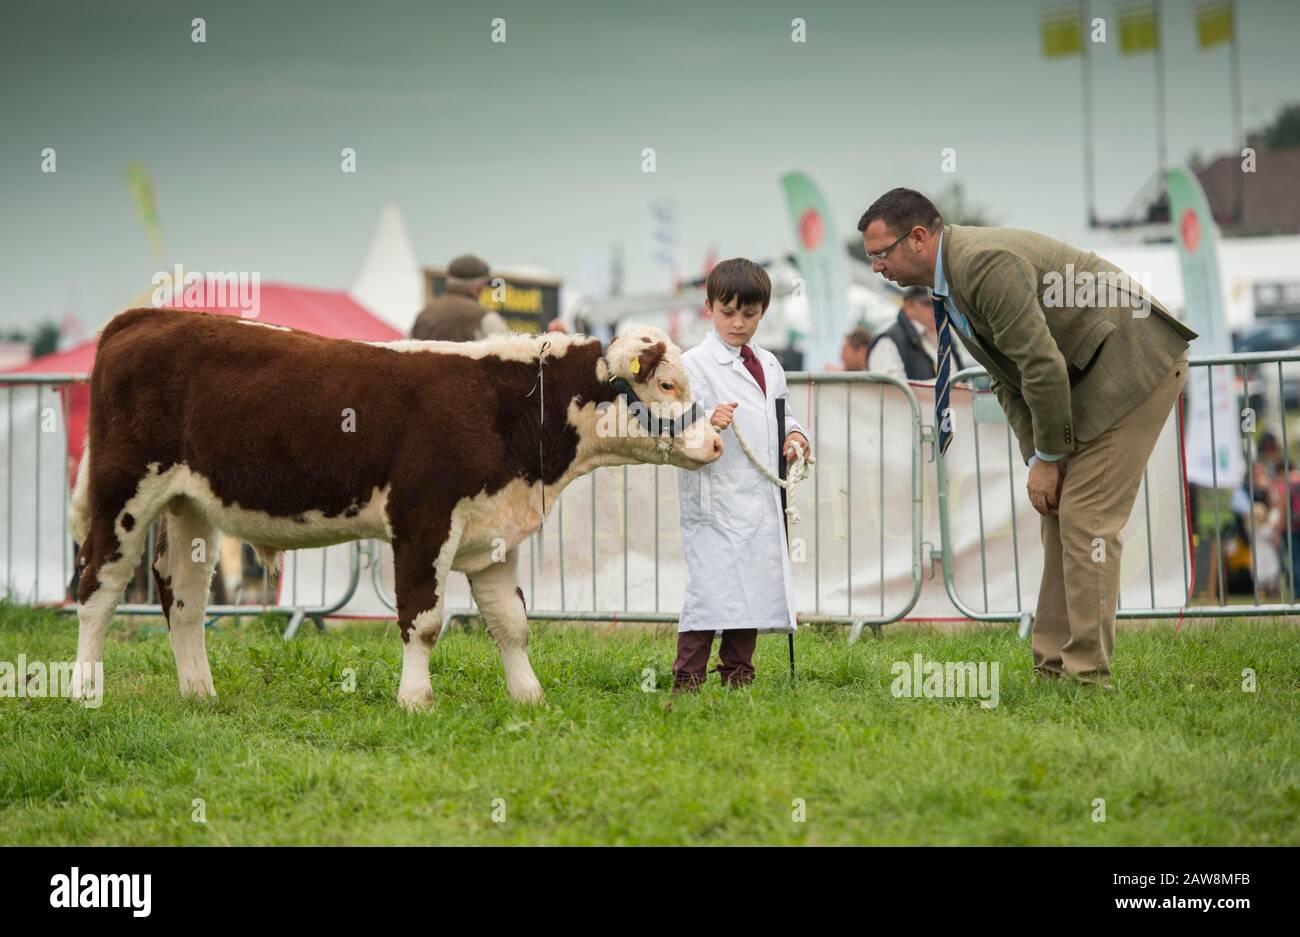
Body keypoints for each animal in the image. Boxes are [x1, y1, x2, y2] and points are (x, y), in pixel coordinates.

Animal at [68, 306, 722, 706]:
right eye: (667, 384)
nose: (715, 440)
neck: (507, 406)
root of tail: (150, 316)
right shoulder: (423, 520)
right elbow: (424, 620)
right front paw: (415, 699)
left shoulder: (494, 533)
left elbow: (511, 623)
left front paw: (529, 696)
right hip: (122, 494)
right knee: (99, 587)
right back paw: (83, 690)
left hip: (190, 506)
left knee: (183, 597)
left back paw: (199, 693)